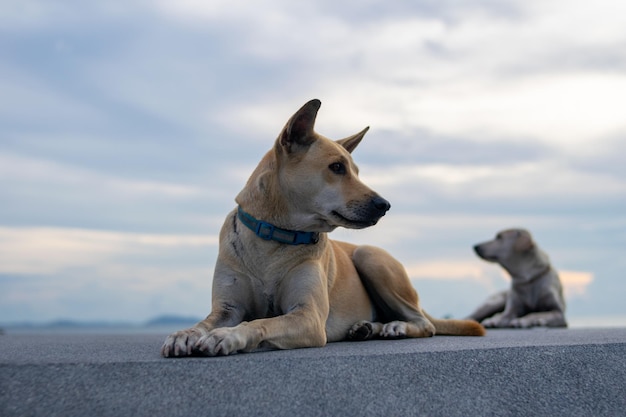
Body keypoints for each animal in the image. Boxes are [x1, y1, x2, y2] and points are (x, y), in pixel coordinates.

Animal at [161, 99, 482, 356]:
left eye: (356, 171)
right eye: (337, 167)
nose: (385, 204)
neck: (273, 240)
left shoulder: (308, 317)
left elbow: (260, 322)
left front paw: (227, 336)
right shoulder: (227, 308)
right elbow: (207, 322)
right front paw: (184, 334)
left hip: (370, 256)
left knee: (425, 324)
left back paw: (395, 327)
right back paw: (367, 328)